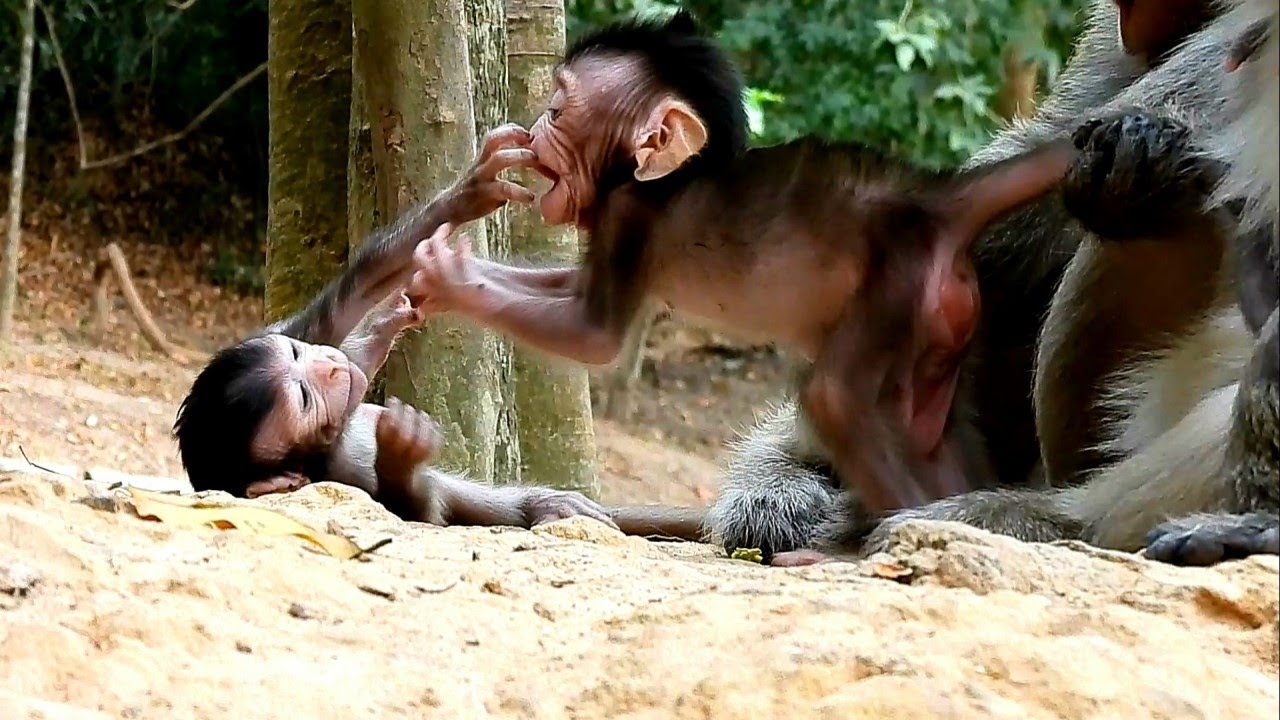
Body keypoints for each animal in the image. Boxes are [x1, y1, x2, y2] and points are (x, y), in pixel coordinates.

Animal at [403, 10, 1081, 523]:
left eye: (558, 111)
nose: (531, 128)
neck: (649, 178)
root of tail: (938, 198)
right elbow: (567, 286)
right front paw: (428, 276)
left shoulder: (628, 218)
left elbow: (592, 333)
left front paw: (450, 280)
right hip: (941, 322)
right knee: (925, 425)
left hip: (900, 279)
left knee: (835, 397)